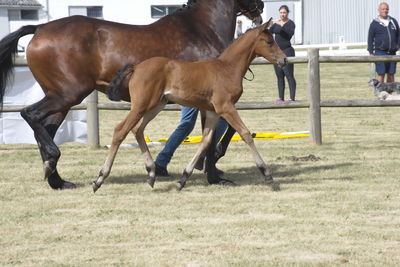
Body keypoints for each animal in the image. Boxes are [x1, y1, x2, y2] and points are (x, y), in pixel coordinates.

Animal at [94, 20, 288, 193]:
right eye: (269, 42)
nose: (284, 59)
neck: (227, 68)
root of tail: (136, 67)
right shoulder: (225, 107)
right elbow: (245, 134)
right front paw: (268, 175)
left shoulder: (212, 111)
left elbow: (205, 141)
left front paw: (183, 179)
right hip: (141, 105)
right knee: (120, 130)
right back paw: (100, 179)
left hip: (156, 105)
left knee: (137, 130)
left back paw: (151, 173)